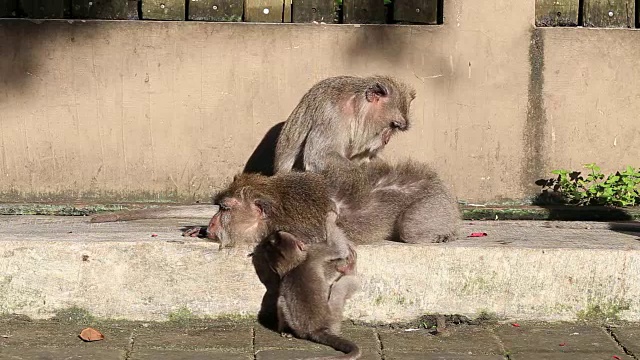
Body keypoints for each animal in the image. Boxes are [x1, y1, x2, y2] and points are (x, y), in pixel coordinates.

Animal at [274, 74, 416, 173]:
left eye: (395, 128)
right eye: (393, 125)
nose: (386, 139)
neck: (356, 107)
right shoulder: (333, 115)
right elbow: (319, 156)